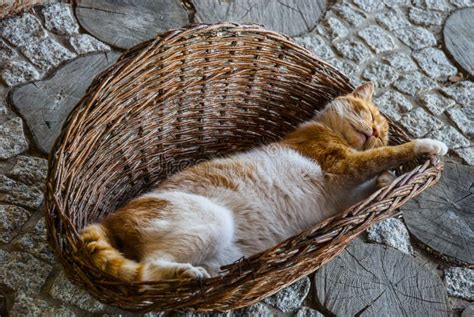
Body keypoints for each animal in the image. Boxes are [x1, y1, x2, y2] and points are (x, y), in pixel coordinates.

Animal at [79, 82, 446, 282]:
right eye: (368, 114)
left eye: (380, 132)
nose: (372, 132)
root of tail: (114, 218)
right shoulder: (342, 166)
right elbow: (390, 155)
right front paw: (431, 145)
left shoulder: (342, 199)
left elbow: (373, 179)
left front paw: (386, 179)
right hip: (209, 222)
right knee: (149, 267)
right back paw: (186, 275)